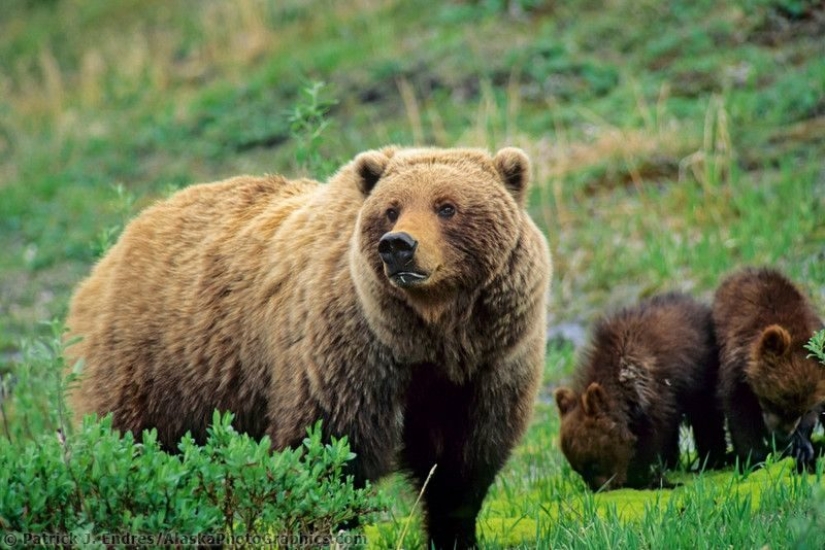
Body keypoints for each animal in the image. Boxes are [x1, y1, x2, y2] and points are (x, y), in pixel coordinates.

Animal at [64, 146, 552, 548]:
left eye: (447, 206)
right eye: (391, 209)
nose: (398, 246)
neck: (429, 335)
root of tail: (112, 250)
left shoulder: (487, 368)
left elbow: (461, 466)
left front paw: (455, 536)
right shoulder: (345, 352)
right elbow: (332, 450)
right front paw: (334, 530)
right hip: (153, 366)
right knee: (131, 445)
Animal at [552, 296, 728, 494]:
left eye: (594, 463)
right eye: (578, 469)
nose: (600, 488)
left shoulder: (657, 396)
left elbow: (652, 439)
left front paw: (645, 477)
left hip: (703, 374)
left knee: (706, 416)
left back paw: (711, 461)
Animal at [712, 268, 820, 470]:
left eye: (802, 409)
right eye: (774, 402)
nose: (783, 435)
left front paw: (802, 447)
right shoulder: (736, 372)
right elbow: (739, 413)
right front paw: (755, 460)